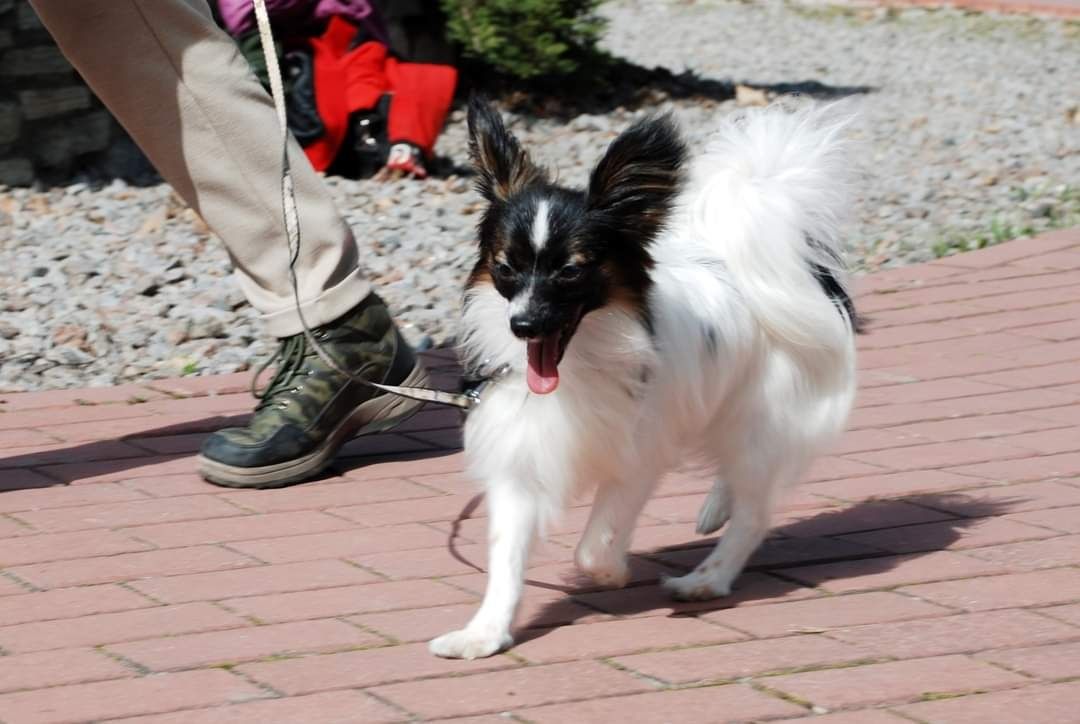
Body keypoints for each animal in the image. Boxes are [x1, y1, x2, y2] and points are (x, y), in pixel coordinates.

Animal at [429, 99, 859, 661]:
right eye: (505, 268)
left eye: (570, 272)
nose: (522, 325)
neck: (578, 360)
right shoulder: (521, 460)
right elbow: (507, 557)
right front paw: (485, 633)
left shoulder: (637, 457)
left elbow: (594, 544)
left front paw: (611, 573)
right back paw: (714, 511)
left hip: (760, 419)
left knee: (755, 510)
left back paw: (707, 578)